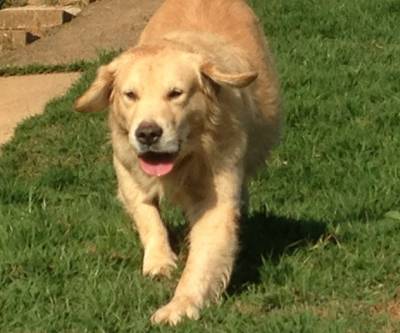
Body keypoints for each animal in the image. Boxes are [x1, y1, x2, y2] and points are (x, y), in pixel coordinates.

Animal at [75, 0, 282, 324]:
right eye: (130, 95)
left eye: (176, 93)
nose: (147, 133)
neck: (187, 157)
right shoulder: (126, 166)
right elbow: (147, 215)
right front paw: (159, 261)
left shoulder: (218, 187)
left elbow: (205, 255)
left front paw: (180, 304)